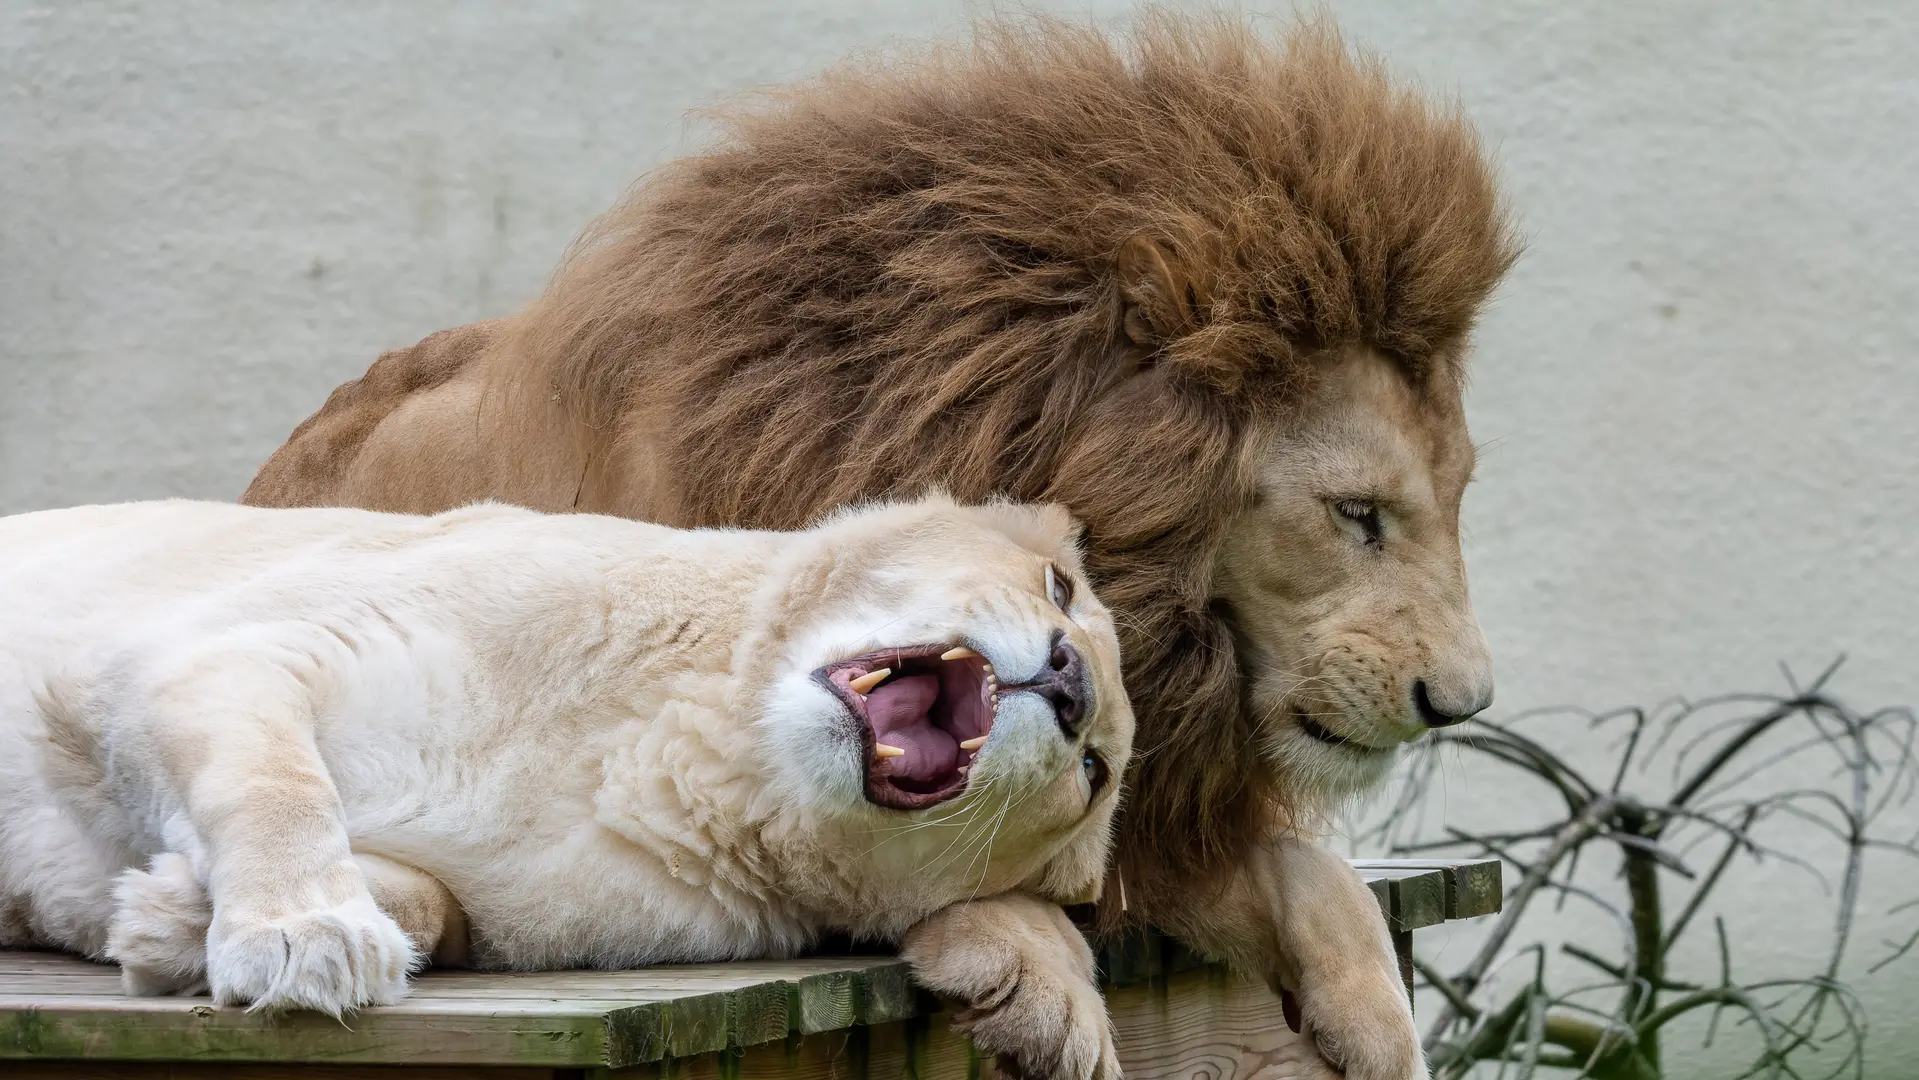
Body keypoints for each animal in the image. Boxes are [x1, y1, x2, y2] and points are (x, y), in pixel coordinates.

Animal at [0, 494, 1131, 1080]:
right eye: (1059, 587)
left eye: (1091, 775)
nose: (1069, 683)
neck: (700, 743)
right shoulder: (227, 646)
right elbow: (274, 778)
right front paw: (303, 938)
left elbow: (433, 904)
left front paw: (168, 922)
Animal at [243, 10, 1520, 1079]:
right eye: (1356, 512)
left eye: (1456, 498)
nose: (1457, 702)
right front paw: (1037, 985)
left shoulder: (1158, 804)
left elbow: (1318, 883)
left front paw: (1379, 1027)